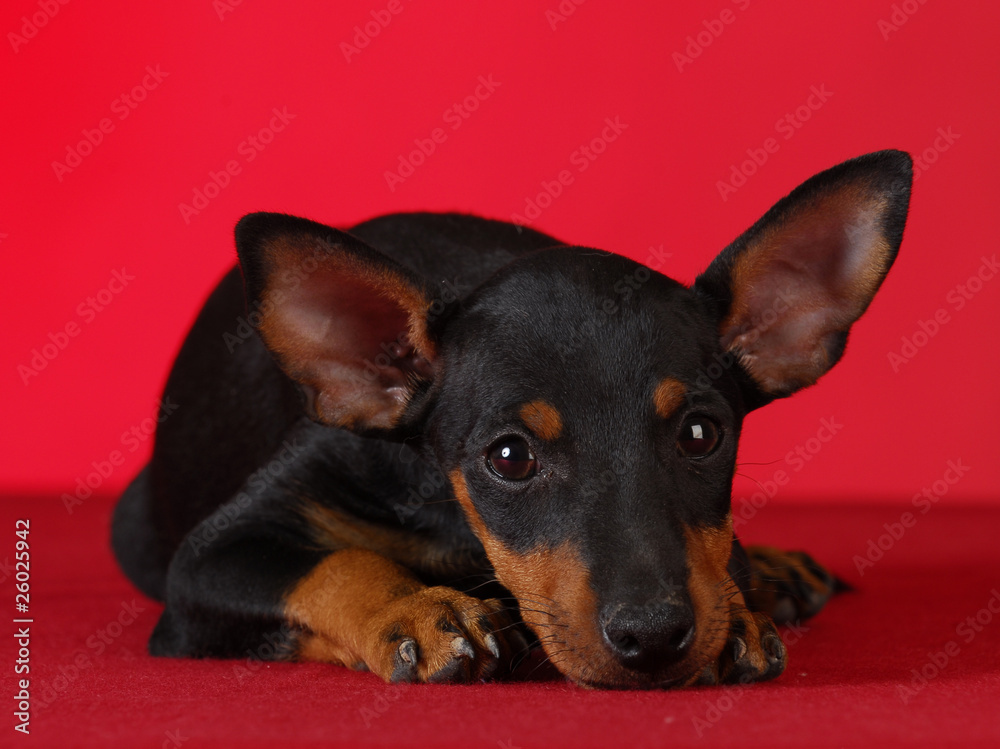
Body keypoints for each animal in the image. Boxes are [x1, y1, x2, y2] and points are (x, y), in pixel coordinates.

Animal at [111, 149, 916, 688]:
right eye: (509, 457)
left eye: (701, 435)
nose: (653, 637)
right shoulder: (209, 562)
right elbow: (337, 561)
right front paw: (415, 609)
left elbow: (719, 558)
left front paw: (741, 602)